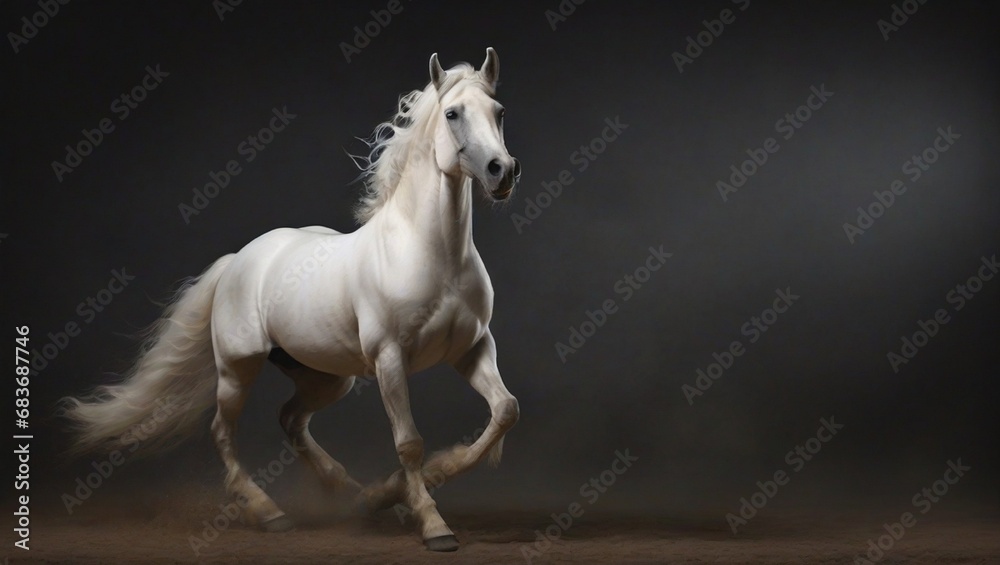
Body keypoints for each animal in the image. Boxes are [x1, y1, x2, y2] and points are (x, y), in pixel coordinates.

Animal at [64, 48, 524, 552]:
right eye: (452, 114)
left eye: (499, 112)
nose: (502, 171)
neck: (431, 254)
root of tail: (237, 260)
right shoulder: (390, 359)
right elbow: (409, 442)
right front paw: (433, 524)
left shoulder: (471, 349)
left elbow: (505, 411)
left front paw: (398, 489)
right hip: (237, 368)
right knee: (224, 432)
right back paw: (270, 512)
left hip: (326, 376)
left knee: (291, 420)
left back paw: (356, 493)